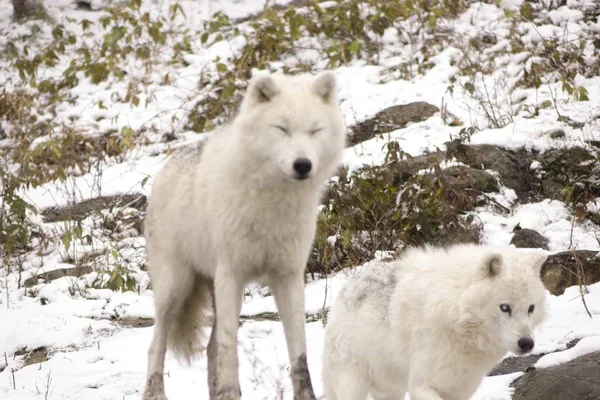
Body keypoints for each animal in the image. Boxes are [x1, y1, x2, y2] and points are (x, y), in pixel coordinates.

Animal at [142, 72, 344, 400]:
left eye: (315, 130)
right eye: (282, 129)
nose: (303, 164)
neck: (273, 203)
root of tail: (166, 165)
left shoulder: (288, 276)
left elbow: (299, 355)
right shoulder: (231, 275)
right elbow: (229, 350)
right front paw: (229, 391)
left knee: (210, 349)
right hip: (176, 288)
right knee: (156, 346)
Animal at [324, 244, 548, 400]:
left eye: (531, 308)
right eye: (505, 307)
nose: (527, 344)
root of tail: (346, 290)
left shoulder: (458, 390)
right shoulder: (421, 385)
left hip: (390, 390)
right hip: (353, 384)